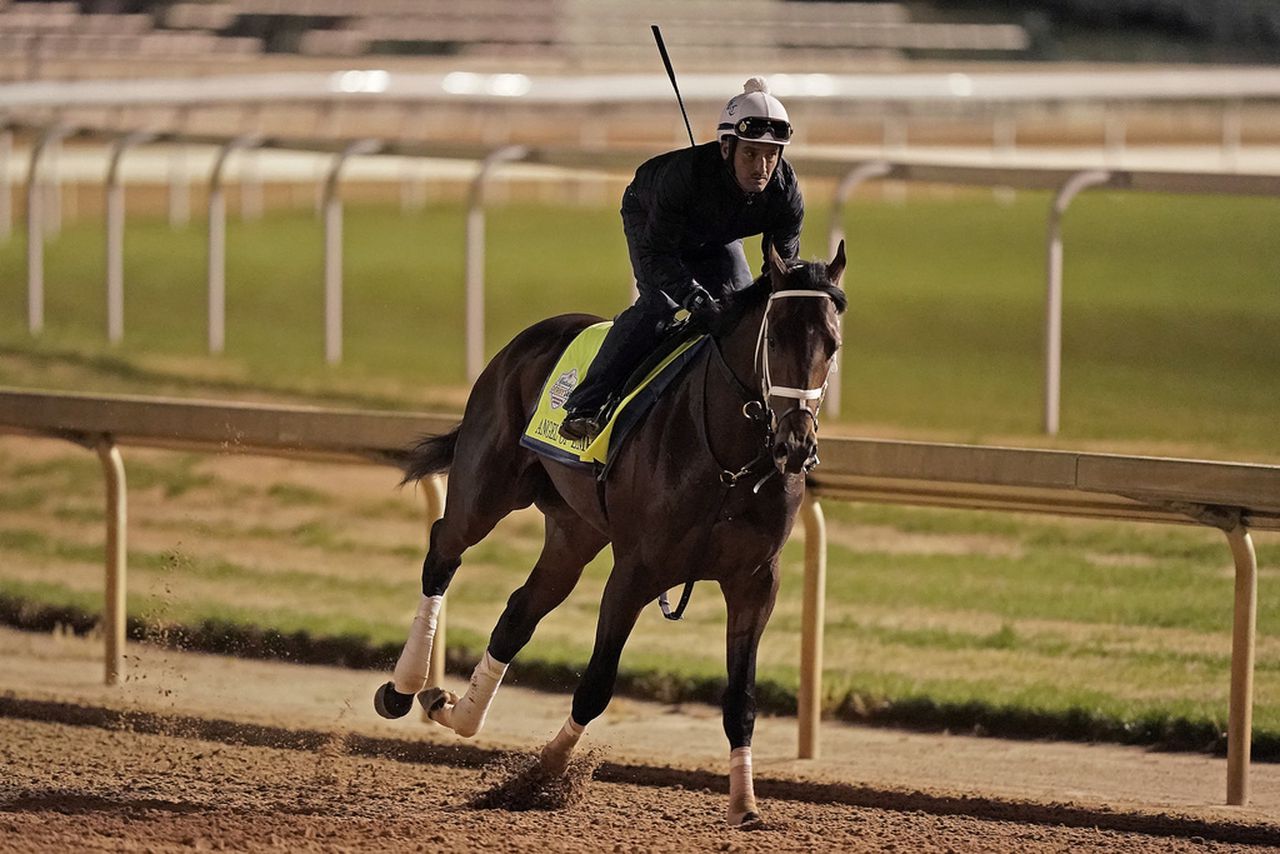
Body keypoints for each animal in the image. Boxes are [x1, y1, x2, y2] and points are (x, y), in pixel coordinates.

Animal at [373, 241, 844, 829]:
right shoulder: (636, 571)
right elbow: (596, 684)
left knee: (519, 611)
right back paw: (404, 688)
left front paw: (745, 805)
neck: (728, 463)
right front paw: (542, 775)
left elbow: (742, 699)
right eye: (775, 337)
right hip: (485, 491)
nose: (795, 444)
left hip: (573, 531)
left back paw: (455, 711)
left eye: (832, 344)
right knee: (443, 550)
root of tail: (525, 341)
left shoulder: (755, 582)